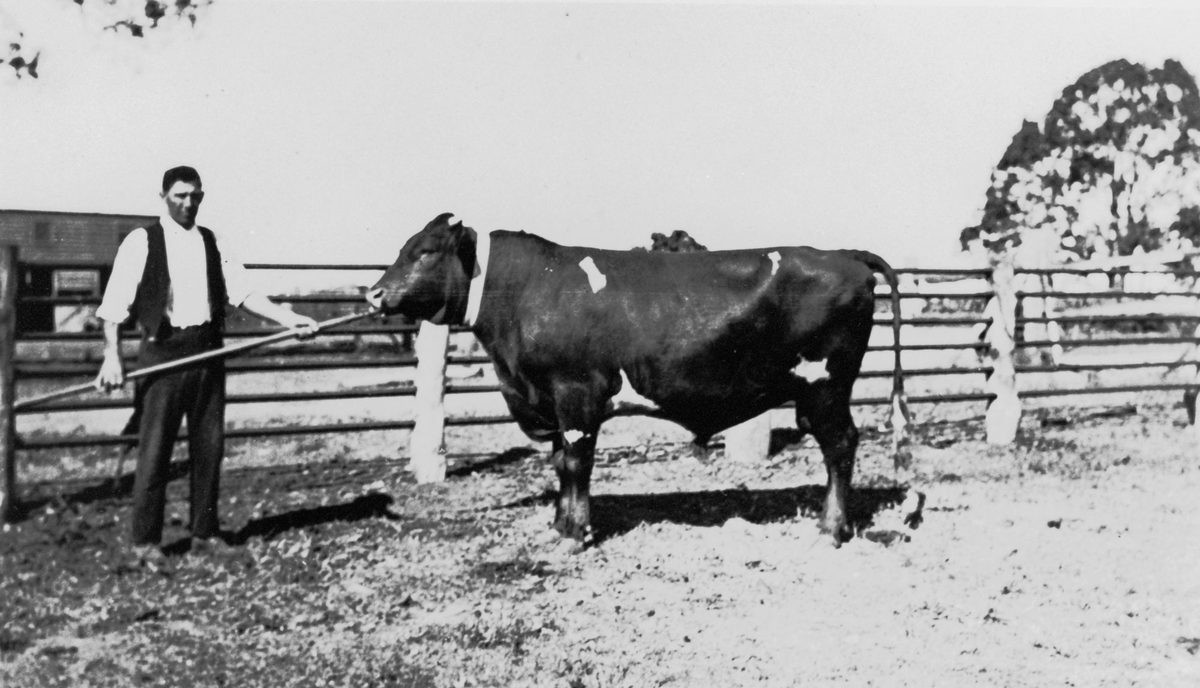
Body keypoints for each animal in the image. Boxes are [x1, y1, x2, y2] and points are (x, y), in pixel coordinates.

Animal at [366, 213, 909, 546]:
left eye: (425, 251)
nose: (375, 293)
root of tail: (842, 255)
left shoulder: (576, 394)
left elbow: (576, 463)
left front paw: (576, 533)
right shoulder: (553, 401)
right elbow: (560, 462)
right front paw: (560, 525)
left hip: (826, 385)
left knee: (840, 444)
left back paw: (832, 528)